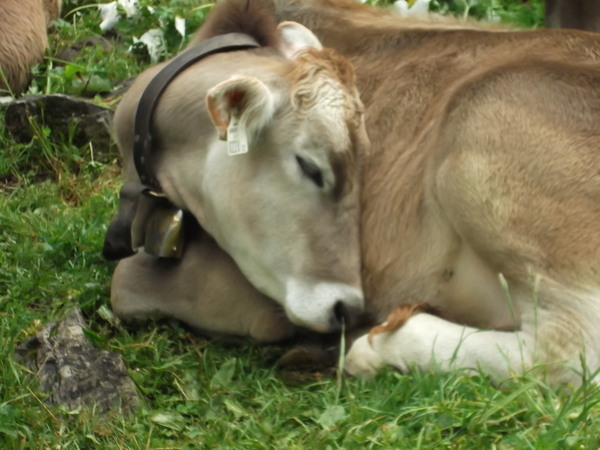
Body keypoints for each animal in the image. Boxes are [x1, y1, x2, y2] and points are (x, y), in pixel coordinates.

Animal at [109, 0, 600, 386]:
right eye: (312, 167)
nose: (347, 309)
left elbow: (124, 281)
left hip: (480, 118)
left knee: (571, 349)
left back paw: (374, 350)